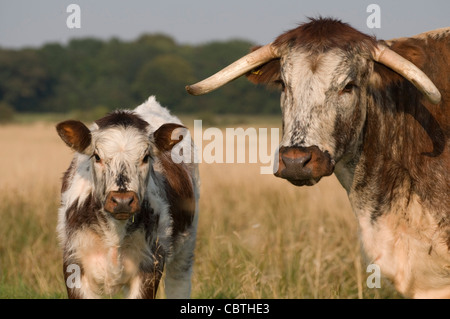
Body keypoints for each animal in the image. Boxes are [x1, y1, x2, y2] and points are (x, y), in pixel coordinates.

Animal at [55, 96, 199, 298]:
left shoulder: (151, 265)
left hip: (186, 249)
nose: (122, 201)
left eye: (146, 157)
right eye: (97, 156)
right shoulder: (73, 264)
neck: (115, 233)